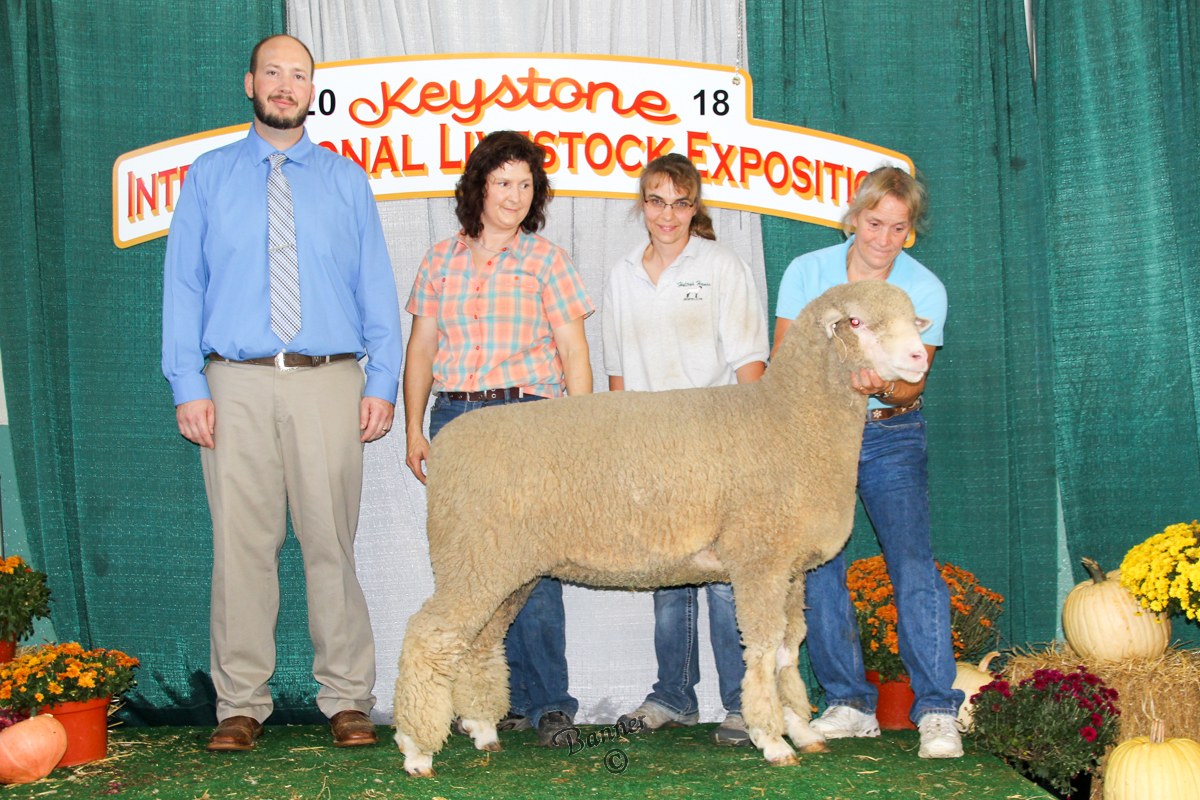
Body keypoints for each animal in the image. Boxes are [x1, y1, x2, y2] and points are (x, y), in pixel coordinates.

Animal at [393, 280, 931, 776]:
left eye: (912, 319)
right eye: (856, 322)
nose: (918, 357)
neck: (792, 419)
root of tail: (445, 444)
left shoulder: (790, 569)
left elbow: (785, 652)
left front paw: (800, 728)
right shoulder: (758, 559)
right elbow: (759, 652)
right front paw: (771, 738)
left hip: (504, 570)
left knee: (478, 643)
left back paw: (483, 731)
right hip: (472, 558)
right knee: (429, 636)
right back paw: (416, 748)